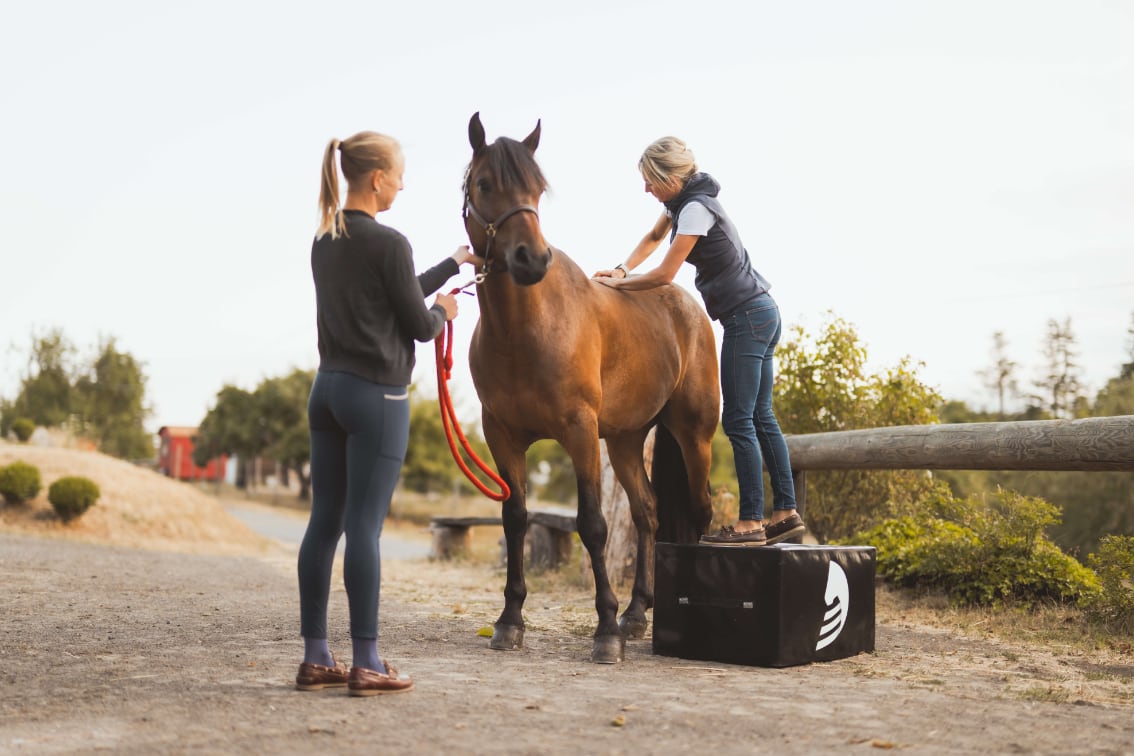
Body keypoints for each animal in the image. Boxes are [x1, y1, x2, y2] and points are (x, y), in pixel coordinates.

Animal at [461, 112, 720, 663]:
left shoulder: (579, 431)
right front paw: (510, 620)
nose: (531, 259)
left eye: (538, 188)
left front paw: (604, 630)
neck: (527, 328)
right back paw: (637, 613)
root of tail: (686, 307)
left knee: (698, 509)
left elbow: (593, 525)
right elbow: (515, 518)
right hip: (624, 441)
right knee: (647, 514)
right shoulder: (502, 436)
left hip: (694, 436)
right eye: (485, 184)